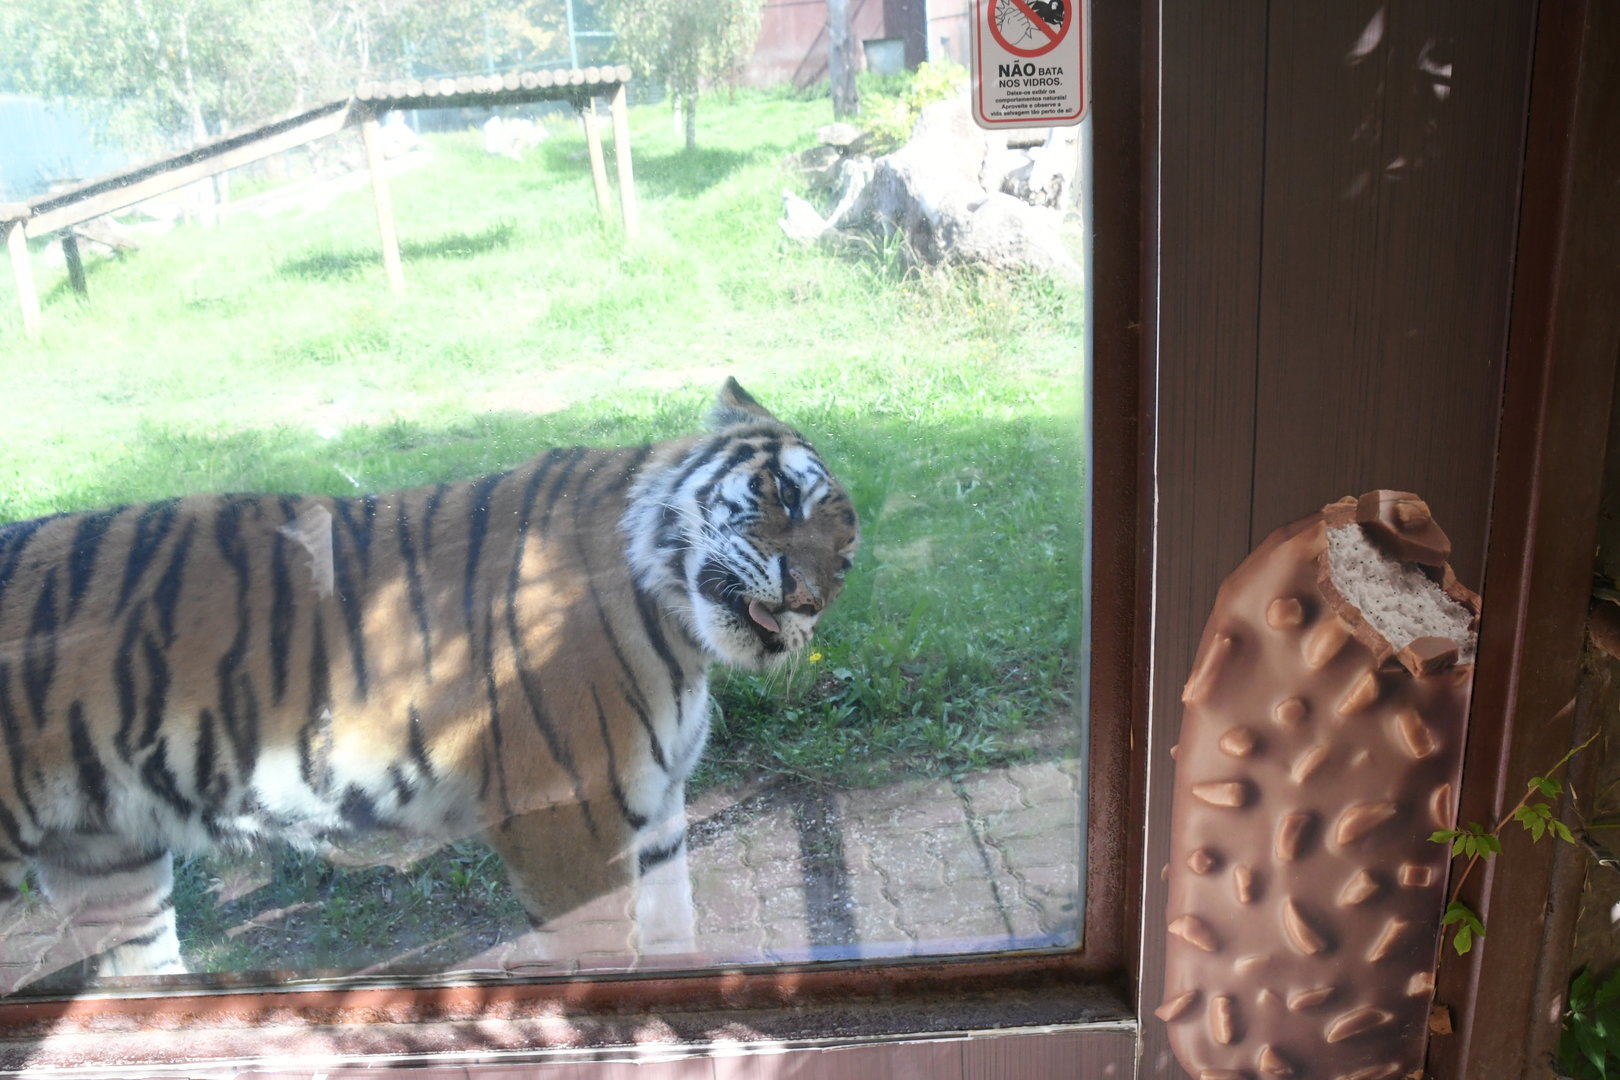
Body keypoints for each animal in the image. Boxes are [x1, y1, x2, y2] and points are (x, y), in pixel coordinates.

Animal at [0, 378, 857, 988]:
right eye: (784, 495)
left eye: (844, 562)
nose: (806, 600)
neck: (682, 629)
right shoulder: (568, 819)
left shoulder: (662, 814)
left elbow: (677, 944)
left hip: (108, 860)